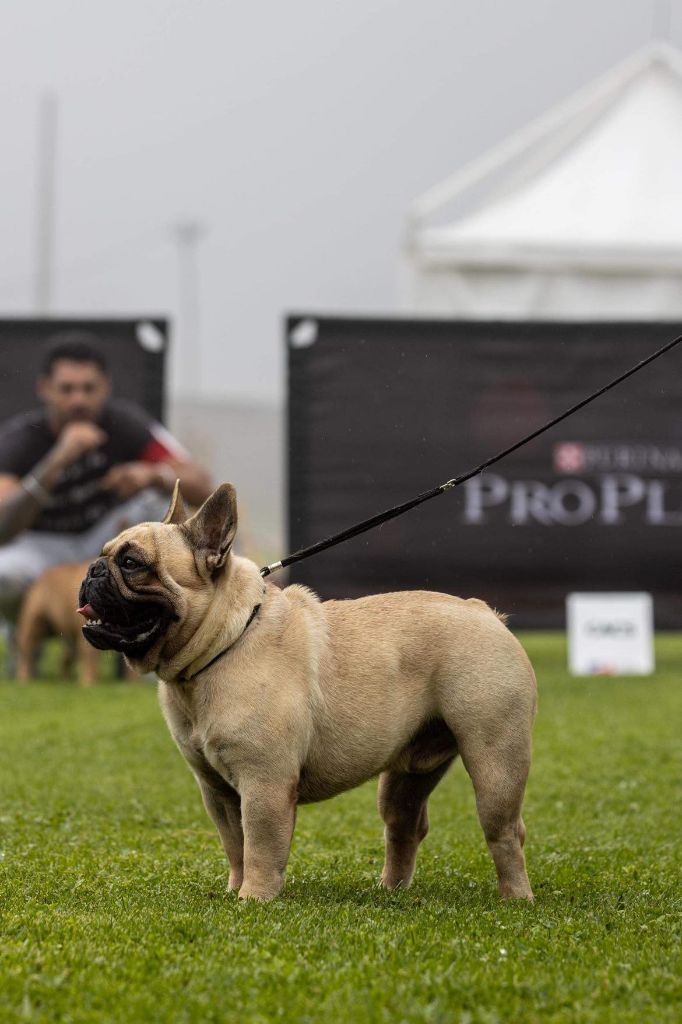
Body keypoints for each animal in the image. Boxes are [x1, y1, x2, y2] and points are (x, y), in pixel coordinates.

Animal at [78, 481, 537, 902]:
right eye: (104, 553)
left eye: (132, 563)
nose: (92, 570)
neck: (223, 643)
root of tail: (483, 611)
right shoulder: (218, 792)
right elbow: (236, 847)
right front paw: (233, 891)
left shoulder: (265, 783)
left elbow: (260, 847)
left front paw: (254, 899)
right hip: (408, 772)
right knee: (404, 824)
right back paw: (392, 891)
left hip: (495, 762)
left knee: (505, 830)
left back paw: (516, 898)